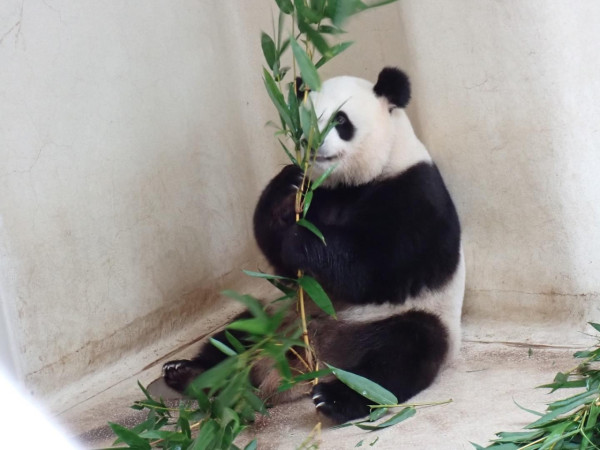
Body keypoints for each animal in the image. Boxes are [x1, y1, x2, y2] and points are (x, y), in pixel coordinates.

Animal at [163, 66, 464, 422]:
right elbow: (279, 257)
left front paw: (301, 239)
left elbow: (375, 268)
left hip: (405, 321)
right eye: (301, 119)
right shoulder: (318, 194)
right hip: (277, 316)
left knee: (399, 356)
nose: (310, 143)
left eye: (340, 120)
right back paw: (190, 374)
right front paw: (285, 192)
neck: (349, 182)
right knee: (235, 335)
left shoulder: (413, 194)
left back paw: (335, 399)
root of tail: (312, 362)